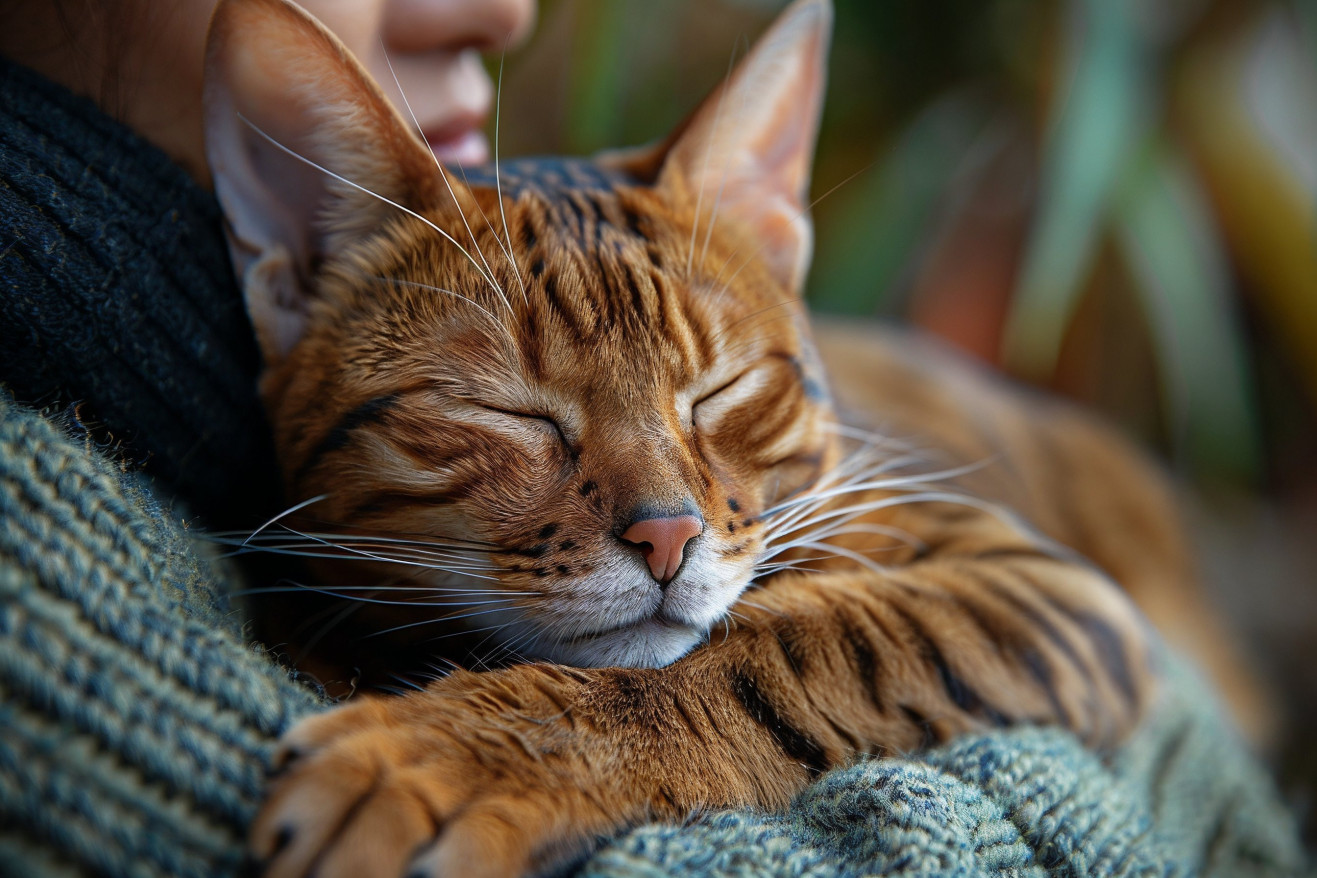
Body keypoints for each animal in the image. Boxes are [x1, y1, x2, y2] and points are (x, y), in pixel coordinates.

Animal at [200, 0, 1248, 874]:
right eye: (509, 411)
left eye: (720, 390)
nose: (666, 536)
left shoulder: (1056, 593)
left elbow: (794, 647)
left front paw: (467, 753)